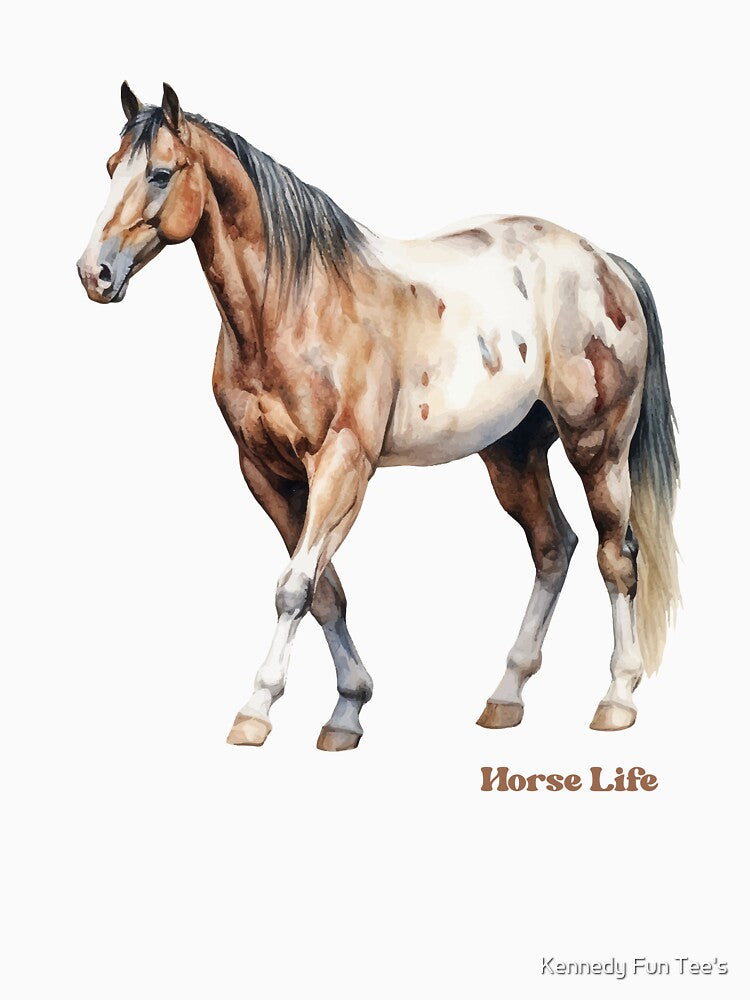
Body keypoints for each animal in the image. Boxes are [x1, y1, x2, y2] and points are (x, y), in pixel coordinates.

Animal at [77, 82, 679, 750]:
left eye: (160, 173)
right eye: (111, 167)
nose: (94, 273)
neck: (295, 303)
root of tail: (605, 264)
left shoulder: (342, 466)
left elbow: (294, 588)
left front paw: (256, 710)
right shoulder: (267, 474)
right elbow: (324, 592)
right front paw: (347, 710)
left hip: (598, 446)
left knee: (615, 556)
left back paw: (616, 699)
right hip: (512, 455)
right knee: (554, 547)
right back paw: (505, 696)